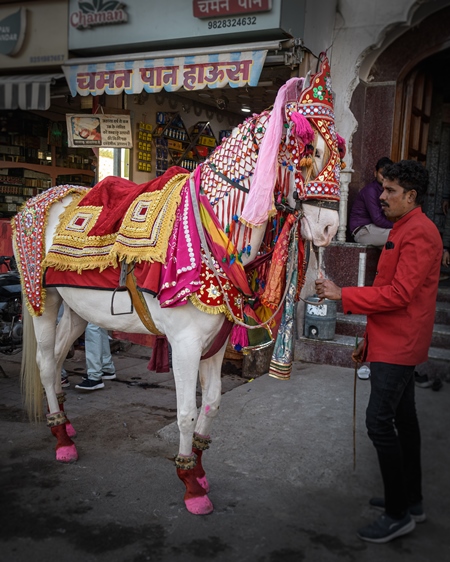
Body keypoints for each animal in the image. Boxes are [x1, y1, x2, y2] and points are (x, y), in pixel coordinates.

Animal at [12, 55, 342, 512]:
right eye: (311, 150)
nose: (329, 227)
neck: (211, 228)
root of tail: (37, 200)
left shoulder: (215, 343)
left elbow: (213, 404)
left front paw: (200, 472)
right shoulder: (184, 344)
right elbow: (185, 411)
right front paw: (190, 485)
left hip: (78, 309)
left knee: (60, 358)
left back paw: (63, 421)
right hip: (40, 299)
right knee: (46, 364)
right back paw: (62, 439)